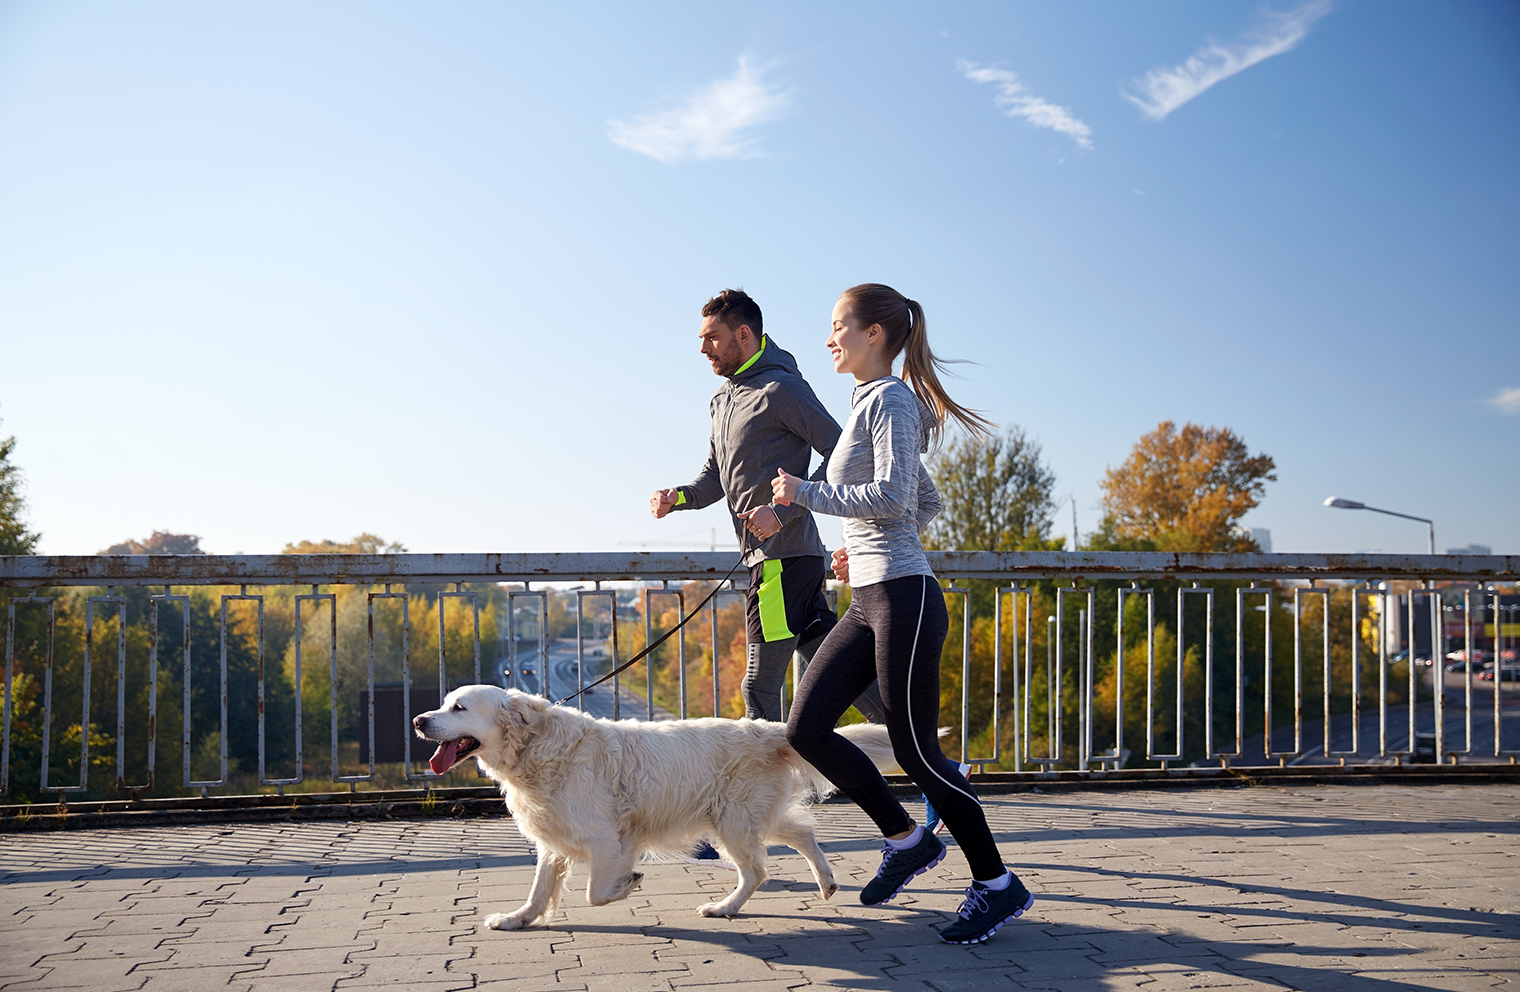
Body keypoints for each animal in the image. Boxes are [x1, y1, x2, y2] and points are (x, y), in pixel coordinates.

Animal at [410, 683, 893, 923]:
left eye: (459, 707)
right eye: (443, 704)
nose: (417, 720)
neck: (537, 746)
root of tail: (766, 729)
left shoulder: (605, 839)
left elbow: (594, 894)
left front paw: (627, 885)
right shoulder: (554, 840)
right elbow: (539, 890)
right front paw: (517, 919)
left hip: (732, 823)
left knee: (757, 871)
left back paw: (724, 908)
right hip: (749, 817)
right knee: (802, 832)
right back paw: (826, 883)